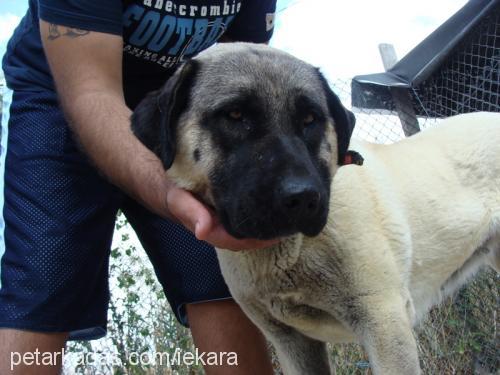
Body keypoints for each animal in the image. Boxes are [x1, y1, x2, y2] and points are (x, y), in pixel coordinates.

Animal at [132, 43, 500, 375]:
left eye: (310, 119)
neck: (290, 253)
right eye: (235, 115)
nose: (303, 197)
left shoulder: (385, 325)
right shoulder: (291, 341)